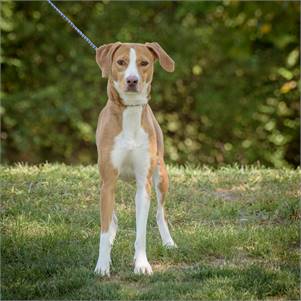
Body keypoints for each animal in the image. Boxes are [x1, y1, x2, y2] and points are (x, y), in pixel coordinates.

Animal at [92, 41, 175, 276]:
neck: (129, 112)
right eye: (121, 62)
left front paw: (141, 264)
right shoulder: (108, 181)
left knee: (160, 213)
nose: (132, 80)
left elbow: (141, 231)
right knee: (111, 218)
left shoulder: (143, 183)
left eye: (144, 63)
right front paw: (102, 265)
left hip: (161, 176)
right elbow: (104, 229)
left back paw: (169, 242)